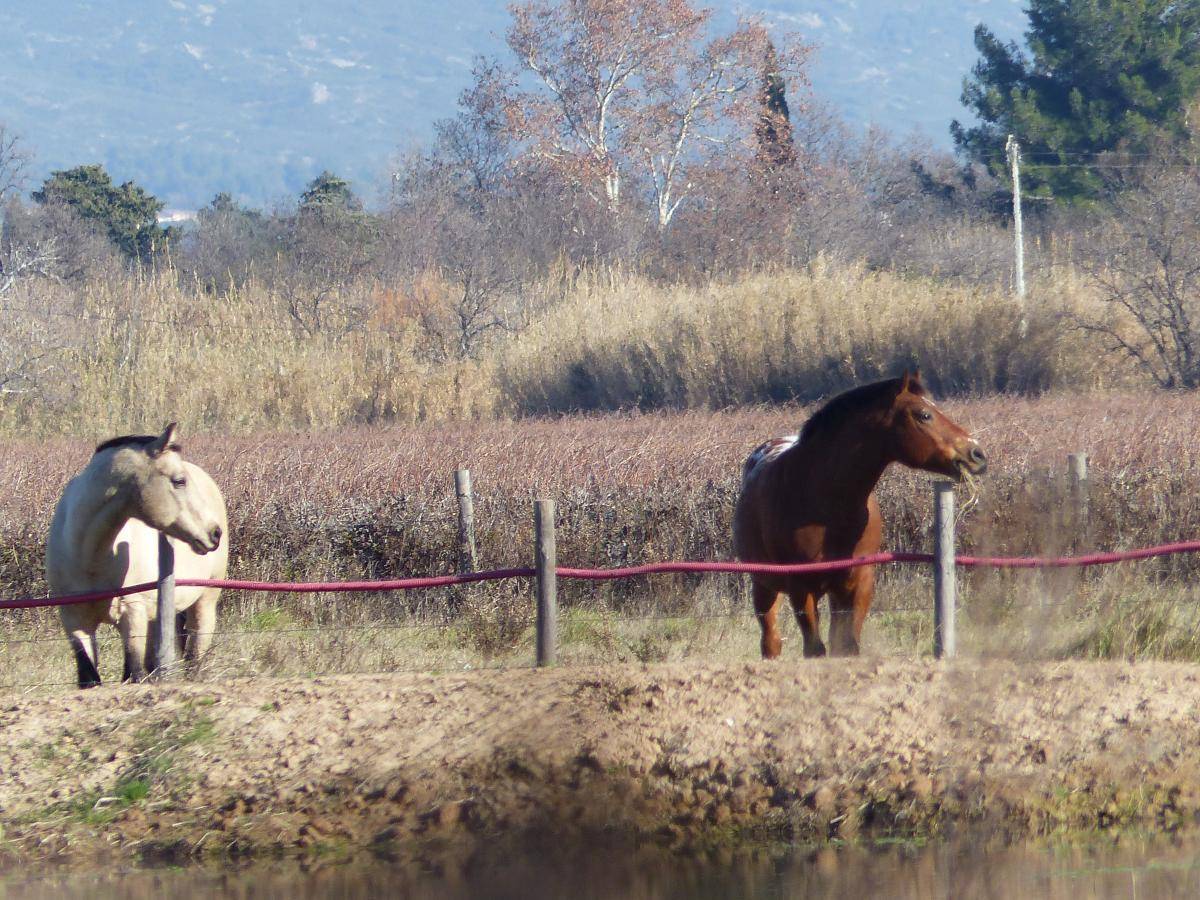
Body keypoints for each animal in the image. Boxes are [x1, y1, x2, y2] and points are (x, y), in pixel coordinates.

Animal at [45, 427, 228, 686]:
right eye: (179, 481)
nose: (214, 533)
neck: (90, 557)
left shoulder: (132, 615)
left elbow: (134, 673)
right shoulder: (75, 622)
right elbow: (90, 678)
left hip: (204, 603)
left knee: (194, 658)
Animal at [734, 369, 988, 657]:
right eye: (924, 415)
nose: (977, 453)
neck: (825, 503)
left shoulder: (859, 583)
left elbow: (847, 645)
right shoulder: (800, 587)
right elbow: (815, 648)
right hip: (765, 586)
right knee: (771, 641)